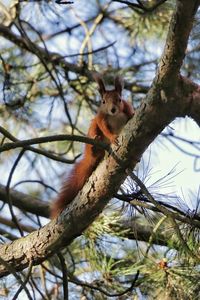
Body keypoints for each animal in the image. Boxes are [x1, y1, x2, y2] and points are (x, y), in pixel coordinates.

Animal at [50, 73, 134, 218]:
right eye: (103, 101)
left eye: (119, 99)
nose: (113, 109)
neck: (115, 116)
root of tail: (90, 157)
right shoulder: (100, 117)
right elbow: (104, 127)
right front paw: (113, 138)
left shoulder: (126, 109)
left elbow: (131, 114)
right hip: (92, 130)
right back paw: (96, 144)